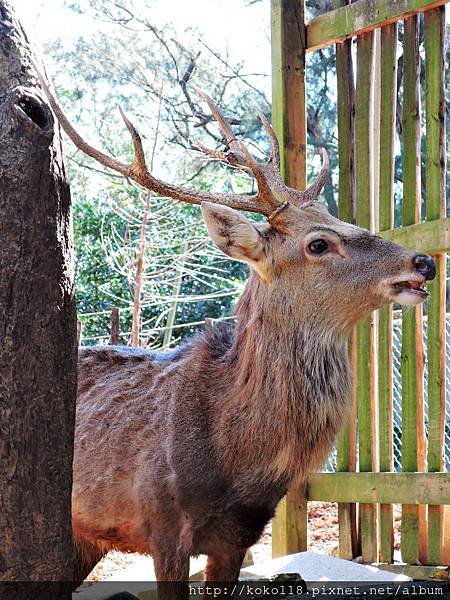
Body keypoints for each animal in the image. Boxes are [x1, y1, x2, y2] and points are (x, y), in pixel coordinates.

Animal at [39, 81, 436, 600]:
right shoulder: (162, 525)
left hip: (84, 536)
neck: (236, 458)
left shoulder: (239, 535)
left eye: (346, 221)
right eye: (318, 243)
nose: (424, 262)